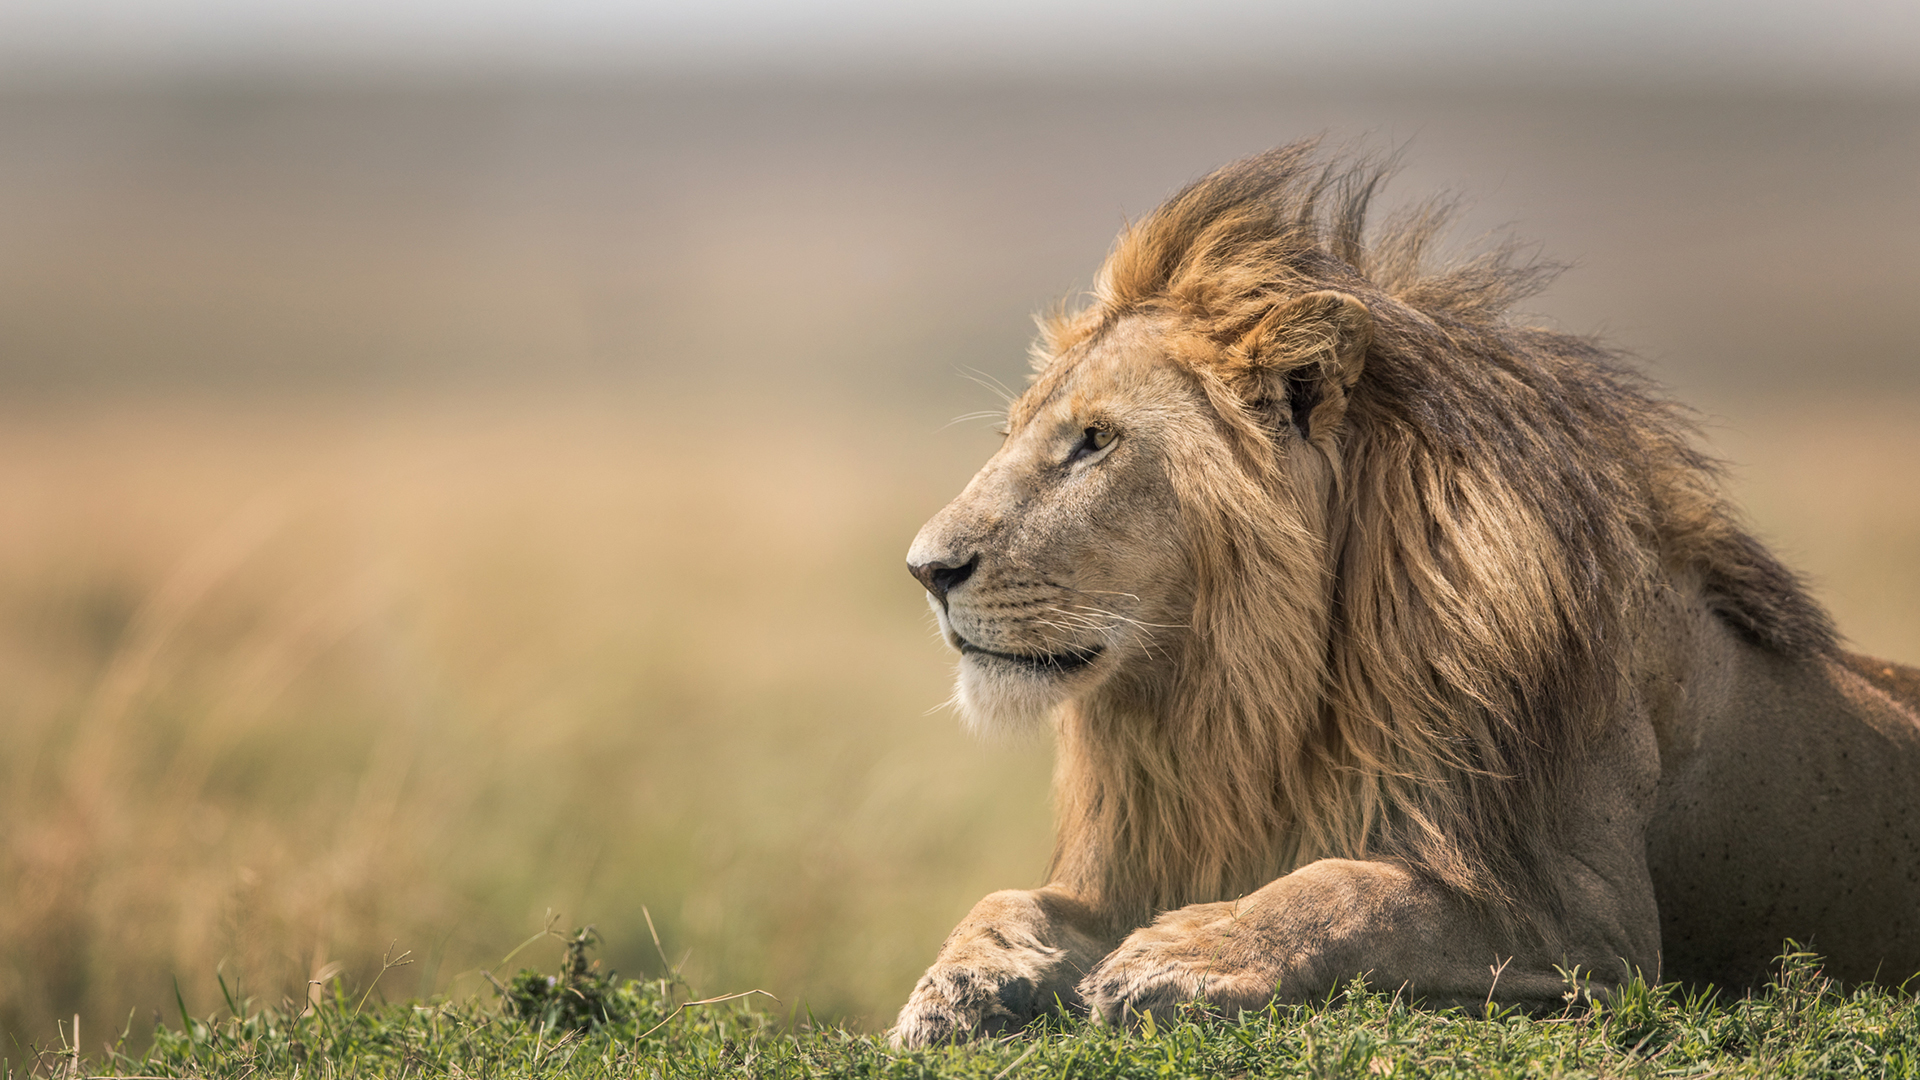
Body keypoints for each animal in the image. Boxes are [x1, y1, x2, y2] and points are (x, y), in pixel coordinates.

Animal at [890, 138, 1920, 1037]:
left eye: (1096, 441)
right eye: (1018, 434)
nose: (925, 570)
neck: (1248, 700)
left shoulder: (1590, 921)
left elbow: (1355, 888)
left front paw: (1183, 953)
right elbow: (1009, 895)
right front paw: (958, 984)